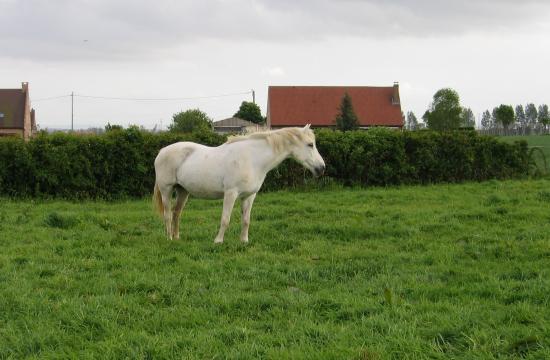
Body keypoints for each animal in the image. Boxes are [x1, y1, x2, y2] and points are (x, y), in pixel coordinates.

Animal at [153, 125, 326, 243]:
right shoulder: (231, 193)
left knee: (176, 213)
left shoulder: (249, 196)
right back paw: (169, 239)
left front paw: (244, 241)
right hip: (166, 190)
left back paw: (177, 237)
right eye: (310, 144)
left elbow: (246, 220)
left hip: (183, 191)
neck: (252, 159)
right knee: (168, 214)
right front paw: (218, 241)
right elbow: (225, 219)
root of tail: (161, 152)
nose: (322, 168)